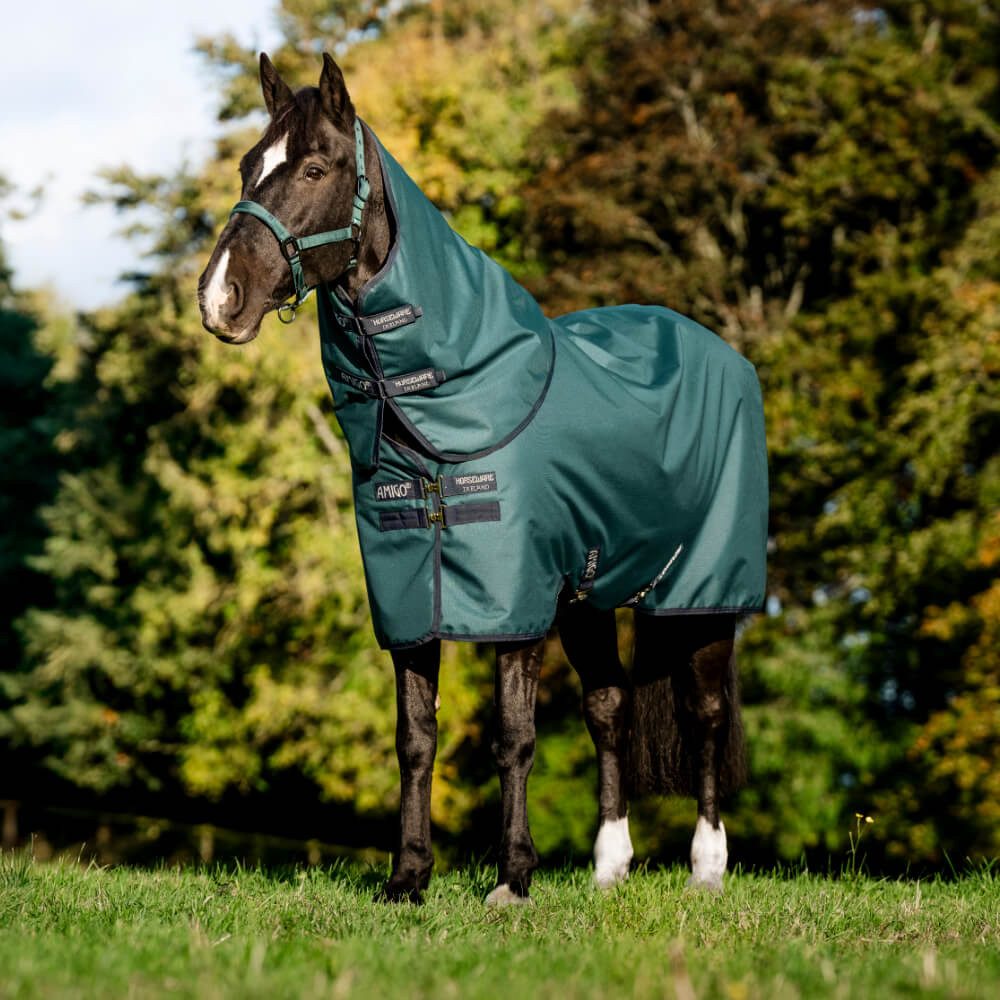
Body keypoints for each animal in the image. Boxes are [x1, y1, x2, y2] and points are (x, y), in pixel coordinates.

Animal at [198, 53, 767, 905]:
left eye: (315, 167)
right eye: (245, 167)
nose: (218, 298)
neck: (448, 405)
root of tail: (721, 352)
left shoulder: (515, 606)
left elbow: (515, 738)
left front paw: (513, 878)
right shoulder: (410, 601)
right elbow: (415, 738)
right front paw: (407, 878)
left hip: (702, 594)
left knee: (702, 713)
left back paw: (707, 867)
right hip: (590, 597)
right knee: (610, 708)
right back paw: (610, 867)